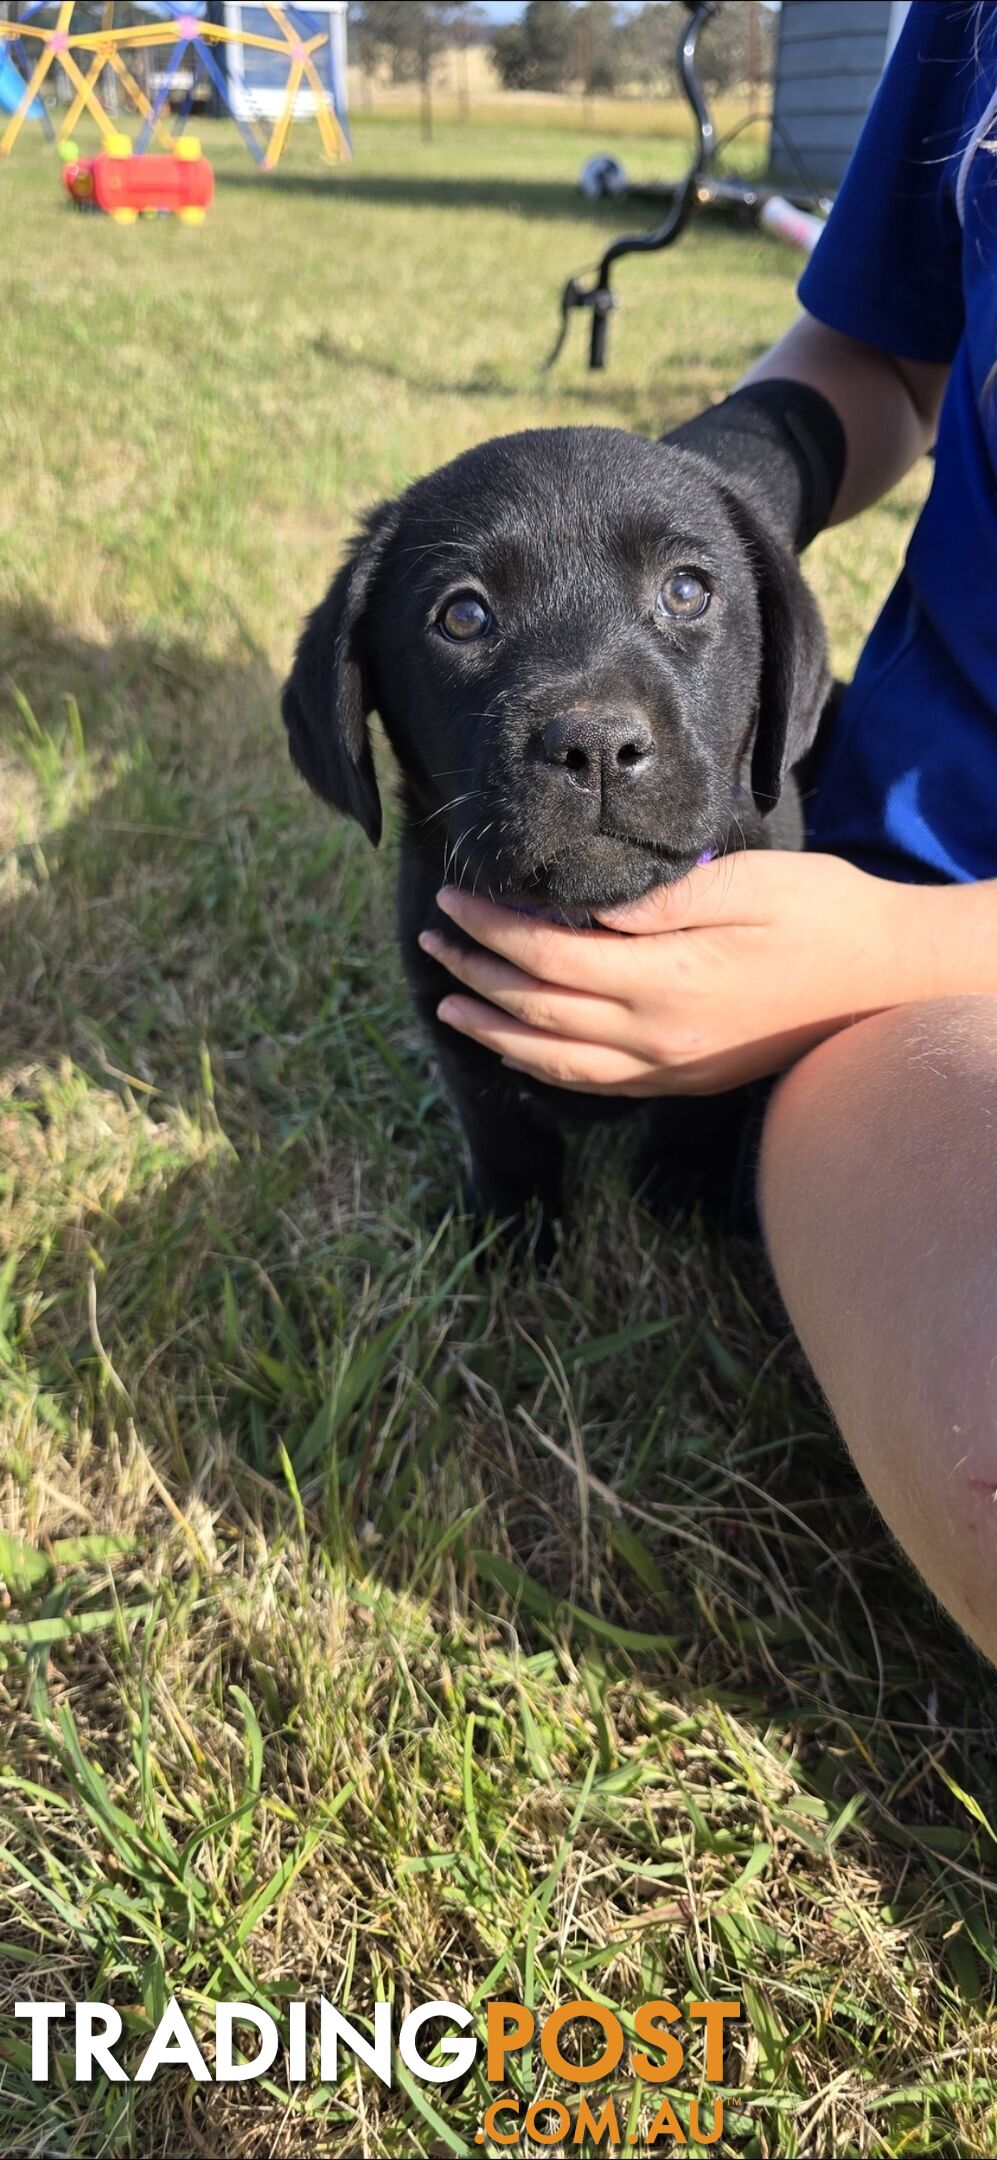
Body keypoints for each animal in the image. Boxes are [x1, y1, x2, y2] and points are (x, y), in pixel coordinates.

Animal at [280, 425, 824, 1252]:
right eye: (463, 616)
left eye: (686, 591)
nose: (595, 747)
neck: (588, 921)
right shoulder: (455, 1015)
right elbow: (508, 1140)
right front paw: (511, 1244)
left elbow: (697, 1113)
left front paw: (678, 1210)